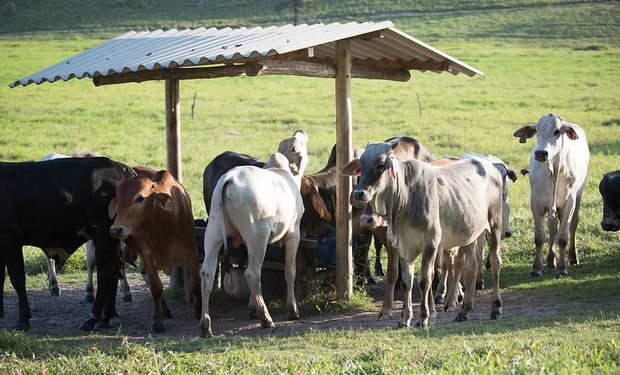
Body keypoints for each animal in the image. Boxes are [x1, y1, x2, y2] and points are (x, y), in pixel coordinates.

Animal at [0, 157, 134, 330]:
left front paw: (23, 319)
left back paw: (93, 318)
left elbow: (17, 279)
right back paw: (105, 317)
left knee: (105, 272)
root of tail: (123, 168)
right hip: (112, 237)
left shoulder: (11, 240)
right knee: (115, 269)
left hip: (102, 234)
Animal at [200, 131, 308, 338]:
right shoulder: (293, 234)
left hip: (215, 231)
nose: (300, 132)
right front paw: (293, 309)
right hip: (258, 235)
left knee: (207, 273)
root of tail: (229, 179)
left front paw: (252, 307)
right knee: (252, 272)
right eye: (298, 144)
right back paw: (266, 319)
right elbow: (290, 270)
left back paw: (205, 325)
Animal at [342, 142, 506, 328]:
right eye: (361, 167)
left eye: (381, 165)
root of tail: (490, 165)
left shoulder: (431, 243)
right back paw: (464, 311)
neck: (405, 197)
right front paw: (404, 318)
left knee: (495, 262)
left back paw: (496, 308)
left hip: (494, 225)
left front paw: (423, 317)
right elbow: (407, 280)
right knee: (472, 265)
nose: (358, 193)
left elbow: (424, 280)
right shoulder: (403, 244)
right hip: (470, 233)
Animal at [512, 113, 592, 278]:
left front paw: (562, 268)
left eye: (557, 131)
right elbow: (540, 237)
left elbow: (563, 238)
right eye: (537, 131)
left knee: (573, 225)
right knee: (553, 228)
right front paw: (536, 268)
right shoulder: (537, 204)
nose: (541, 153)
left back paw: (573, 258)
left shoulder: (569, 203)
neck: (554, 172)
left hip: (578, 197)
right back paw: (550, 260)